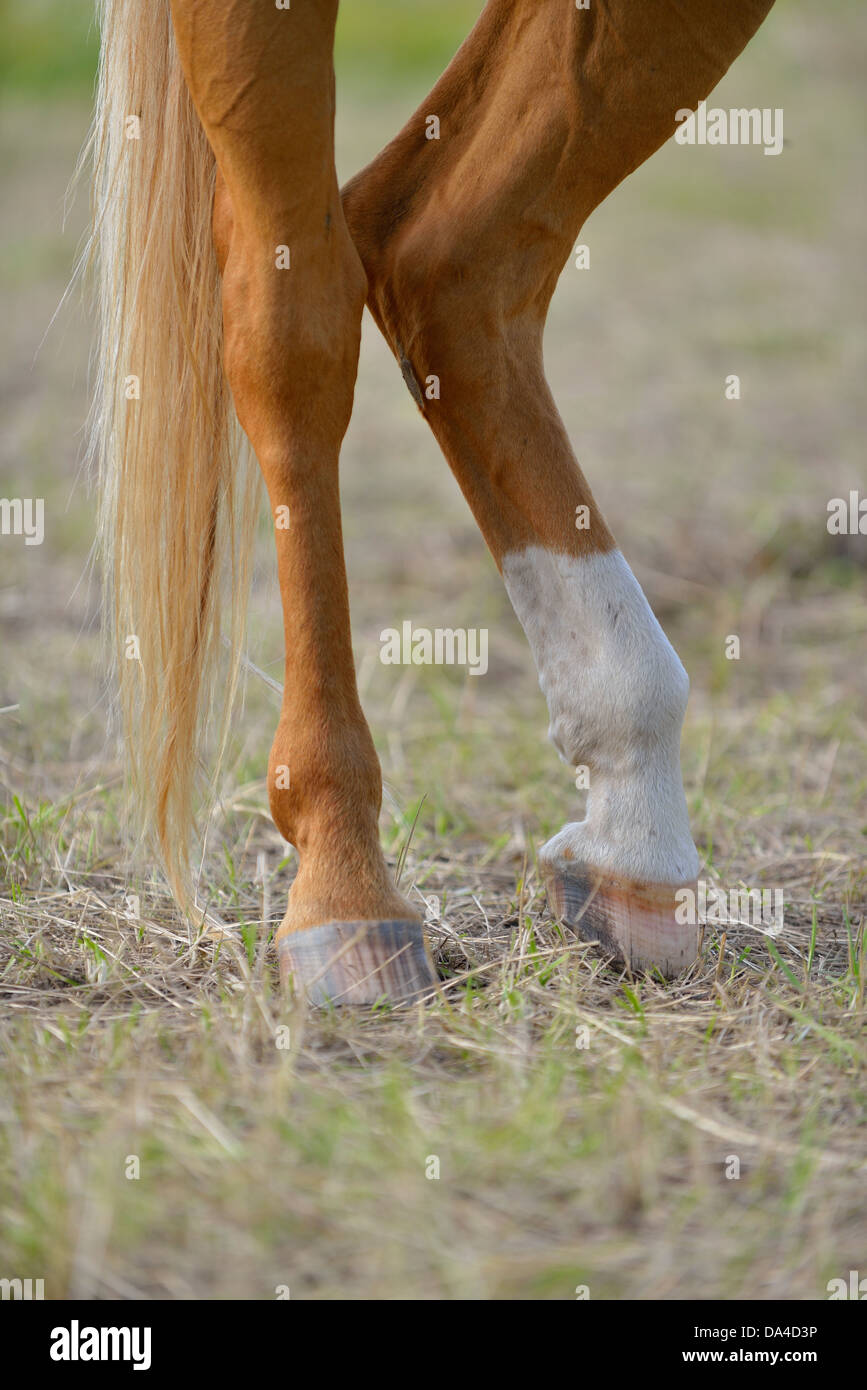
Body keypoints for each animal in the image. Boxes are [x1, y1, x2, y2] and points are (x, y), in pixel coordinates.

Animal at [88, 0, 778, 1000]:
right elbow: (291, 323)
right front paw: (340, 876)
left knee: (446, 256)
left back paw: (634, 835)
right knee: (296, 311)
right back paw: (348, 881)